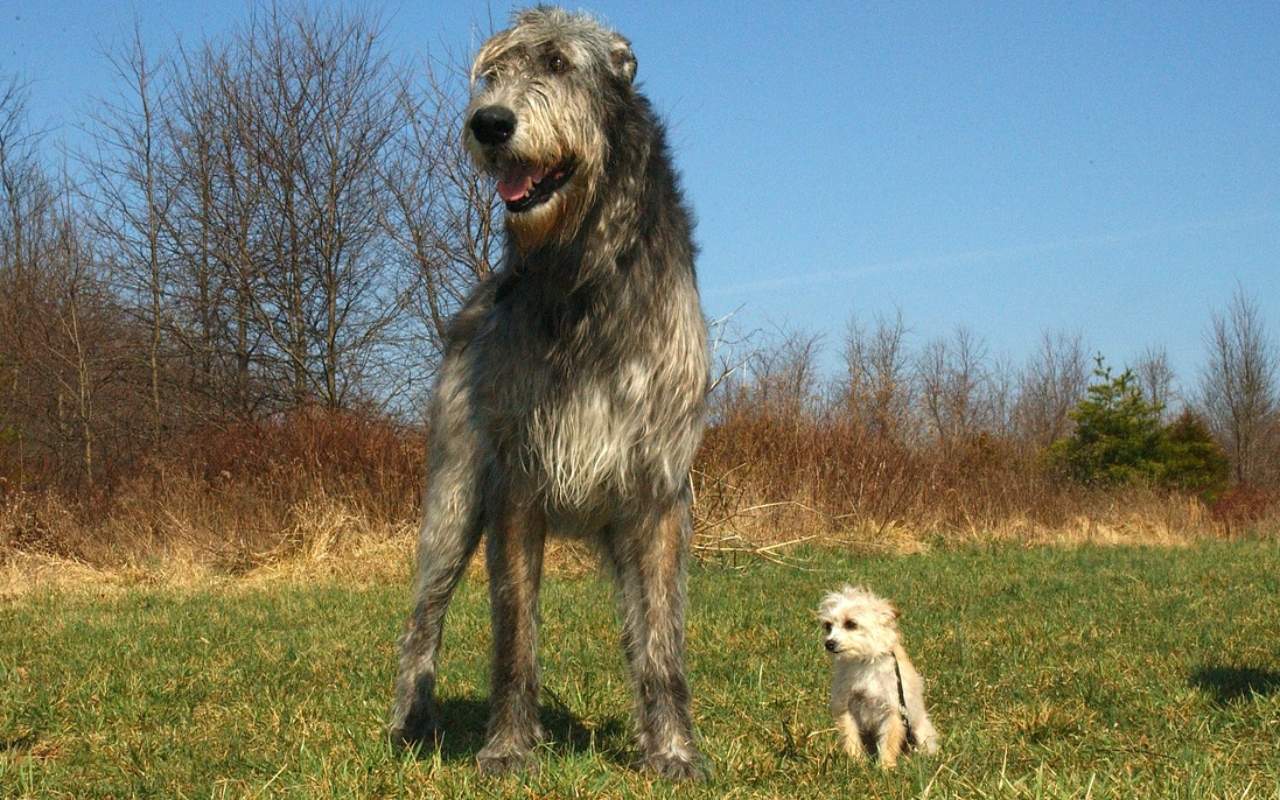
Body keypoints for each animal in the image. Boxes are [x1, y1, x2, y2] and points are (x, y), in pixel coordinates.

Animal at [389, 6, 711, 778]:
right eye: (491, 75)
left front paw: (674, 749)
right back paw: (412, 722)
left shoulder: (659, 491)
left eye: (560, 64)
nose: (490, 124)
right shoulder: (516, 483)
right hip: (451, 498)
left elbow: (662, 642)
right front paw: (508, 748)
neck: (582, 272)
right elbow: (514, 634)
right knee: (423, 618)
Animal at [819, 583, 942, 762]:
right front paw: (855, 762)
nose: (829, 643)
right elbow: (850, 737)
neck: (864, 662)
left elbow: (889, 743)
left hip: (920, 731)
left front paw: (885, 766)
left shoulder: (893, 710)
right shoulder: (845, 707)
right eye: (828, 626)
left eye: (851, 624)